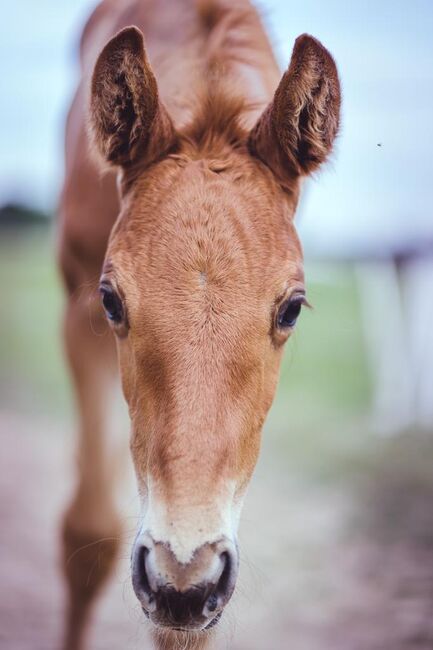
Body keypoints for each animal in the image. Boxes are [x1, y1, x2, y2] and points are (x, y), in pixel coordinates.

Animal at [58, 1, 340, 648]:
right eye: (111, 302)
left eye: (292, 308)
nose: (180, 578)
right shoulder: (77, 310)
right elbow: (86, 536)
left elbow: (185, 630)